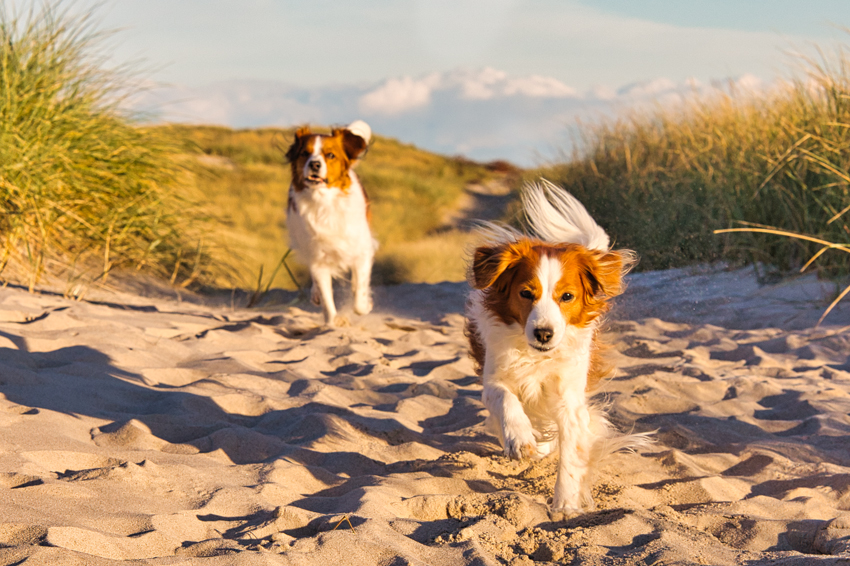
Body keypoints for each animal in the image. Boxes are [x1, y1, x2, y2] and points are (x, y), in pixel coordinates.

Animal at [286, 120, 376, 328]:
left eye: (330, 155)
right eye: (305, 153)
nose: (314, 164)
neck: (324, 202)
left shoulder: (362, 249)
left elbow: (359, 297)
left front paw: (365, 303)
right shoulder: (318, 259)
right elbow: (327, 301)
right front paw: (333, 321)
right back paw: (316, 294)